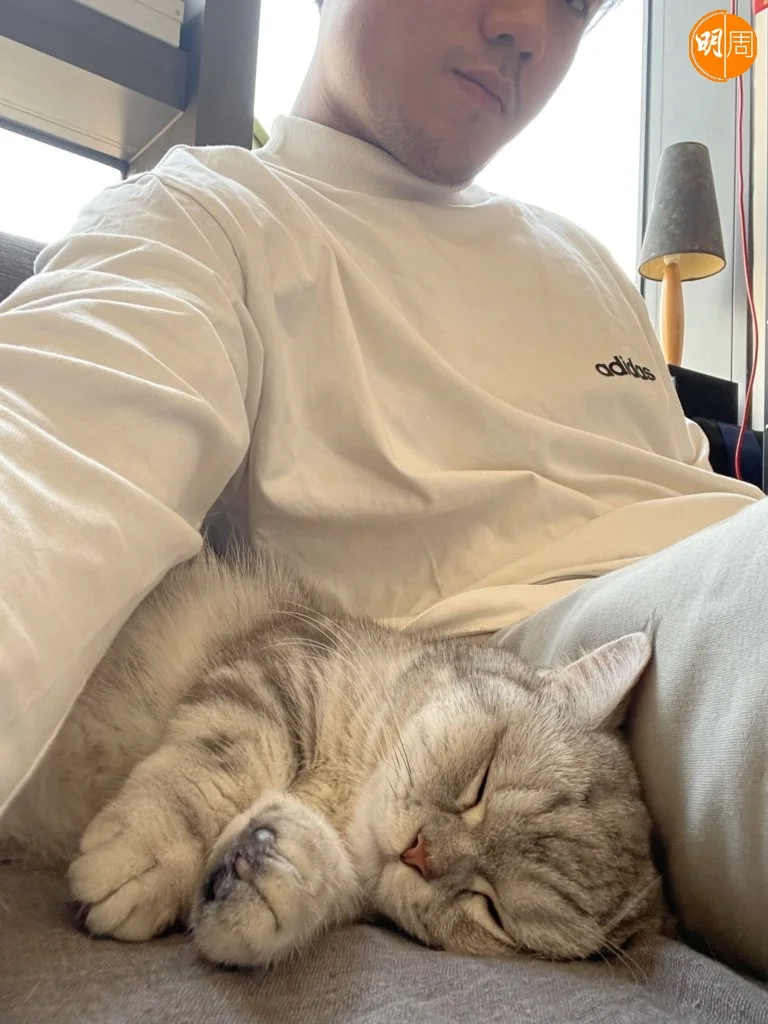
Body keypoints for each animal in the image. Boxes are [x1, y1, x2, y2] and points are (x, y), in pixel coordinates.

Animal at [1, 545, 663, 968]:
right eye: (480, 780)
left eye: (491, 908)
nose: (420, 853)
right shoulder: (279, 668)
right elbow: (220, 766)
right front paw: (150, 852)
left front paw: (275, 874)